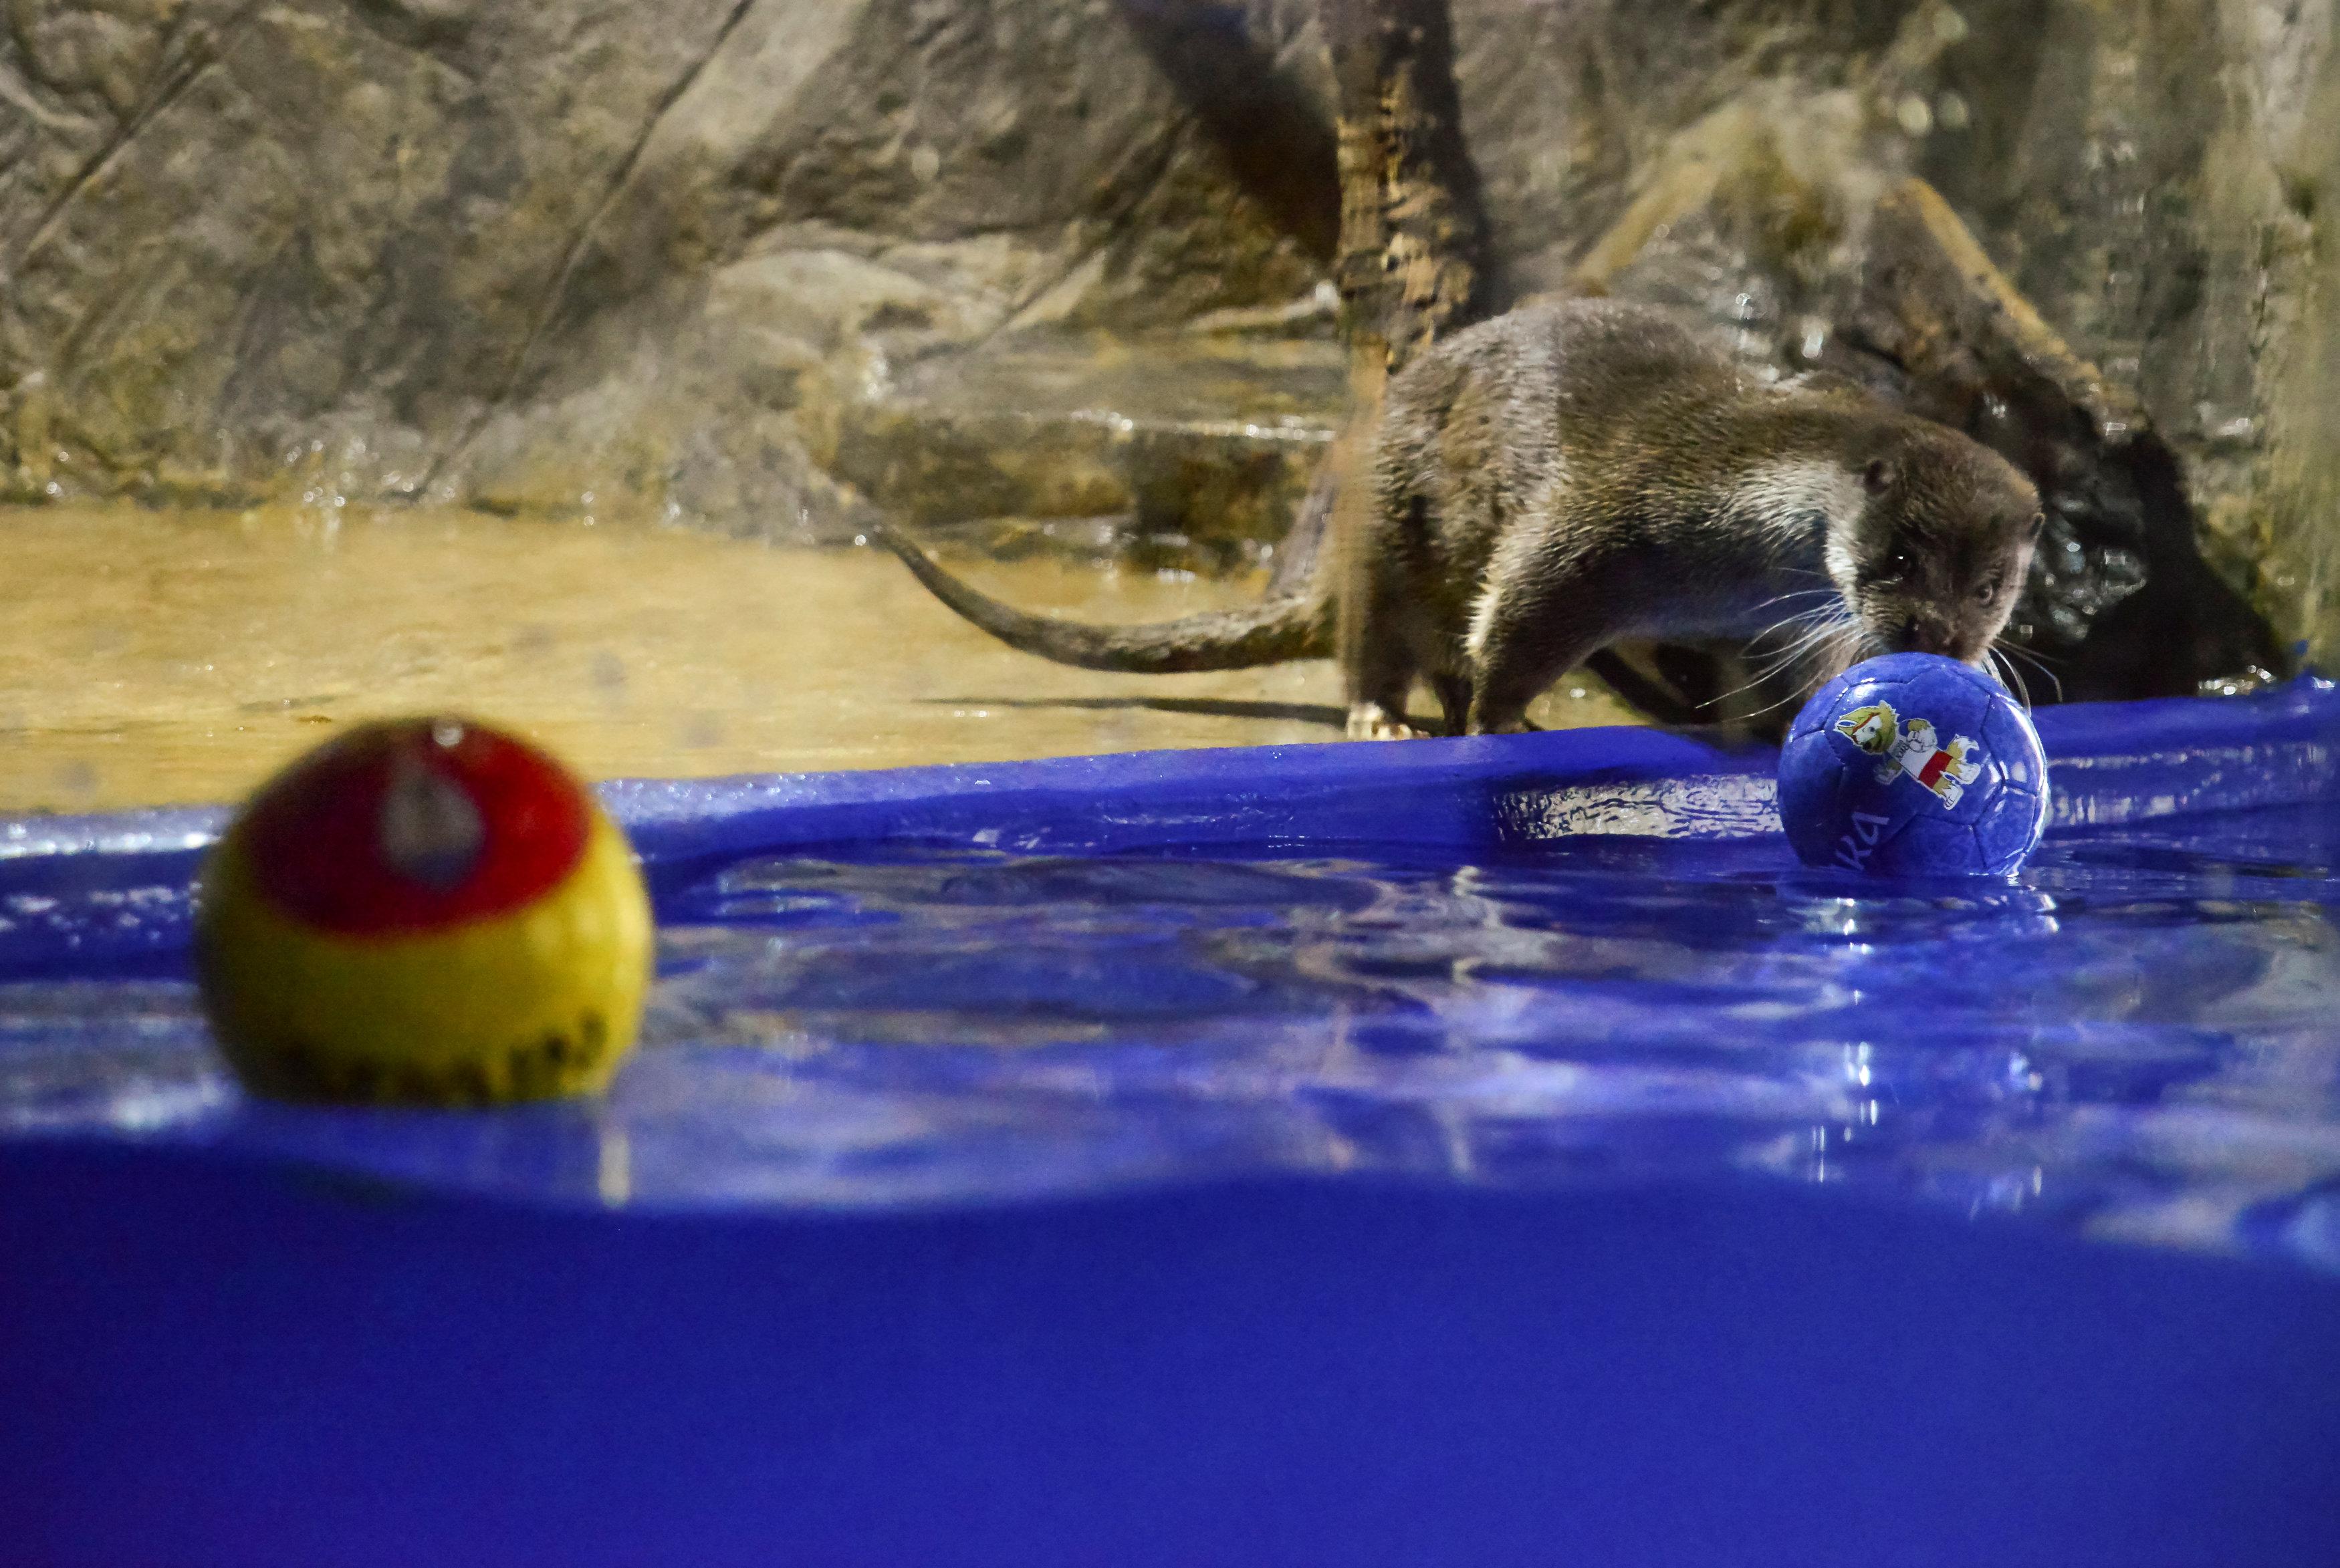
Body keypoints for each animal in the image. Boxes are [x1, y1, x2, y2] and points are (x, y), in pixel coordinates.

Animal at [877, 299, 2043, 738]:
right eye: (1899, 558)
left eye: (1992, 588)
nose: (1943, 638)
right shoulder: (1600, 527)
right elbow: (1522, 613)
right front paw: (1501, 726)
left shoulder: (1768, 624)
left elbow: (1774, 686)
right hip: (1381, 532)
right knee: (1379, 645)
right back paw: (1386, 718)